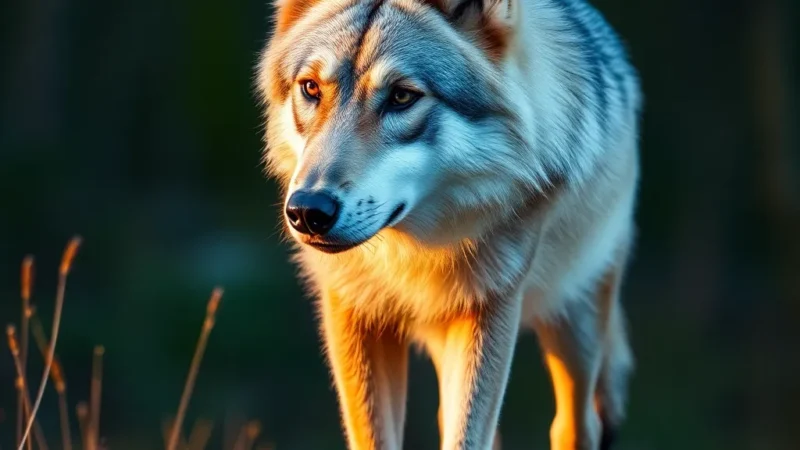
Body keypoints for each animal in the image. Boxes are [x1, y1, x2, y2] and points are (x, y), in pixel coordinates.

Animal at [257, 0, 641, 448]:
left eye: (402, 96)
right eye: (311, 89)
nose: (308, 211)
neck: (413, 252)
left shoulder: (490, 310)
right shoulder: (353, 313)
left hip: (574, 325)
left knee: (576, 424)